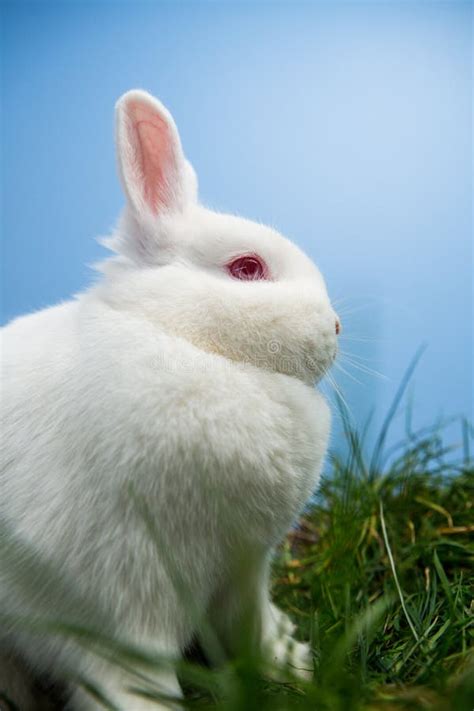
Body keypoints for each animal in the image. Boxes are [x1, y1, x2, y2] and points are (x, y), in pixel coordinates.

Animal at [0, 90, 340, 711]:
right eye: (247, 268)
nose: (335, 327)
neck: (183, 338)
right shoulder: (124, 592)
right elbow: (132, 677)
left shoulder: (243, 570)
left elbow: (250, 628)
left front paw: (292, 664)